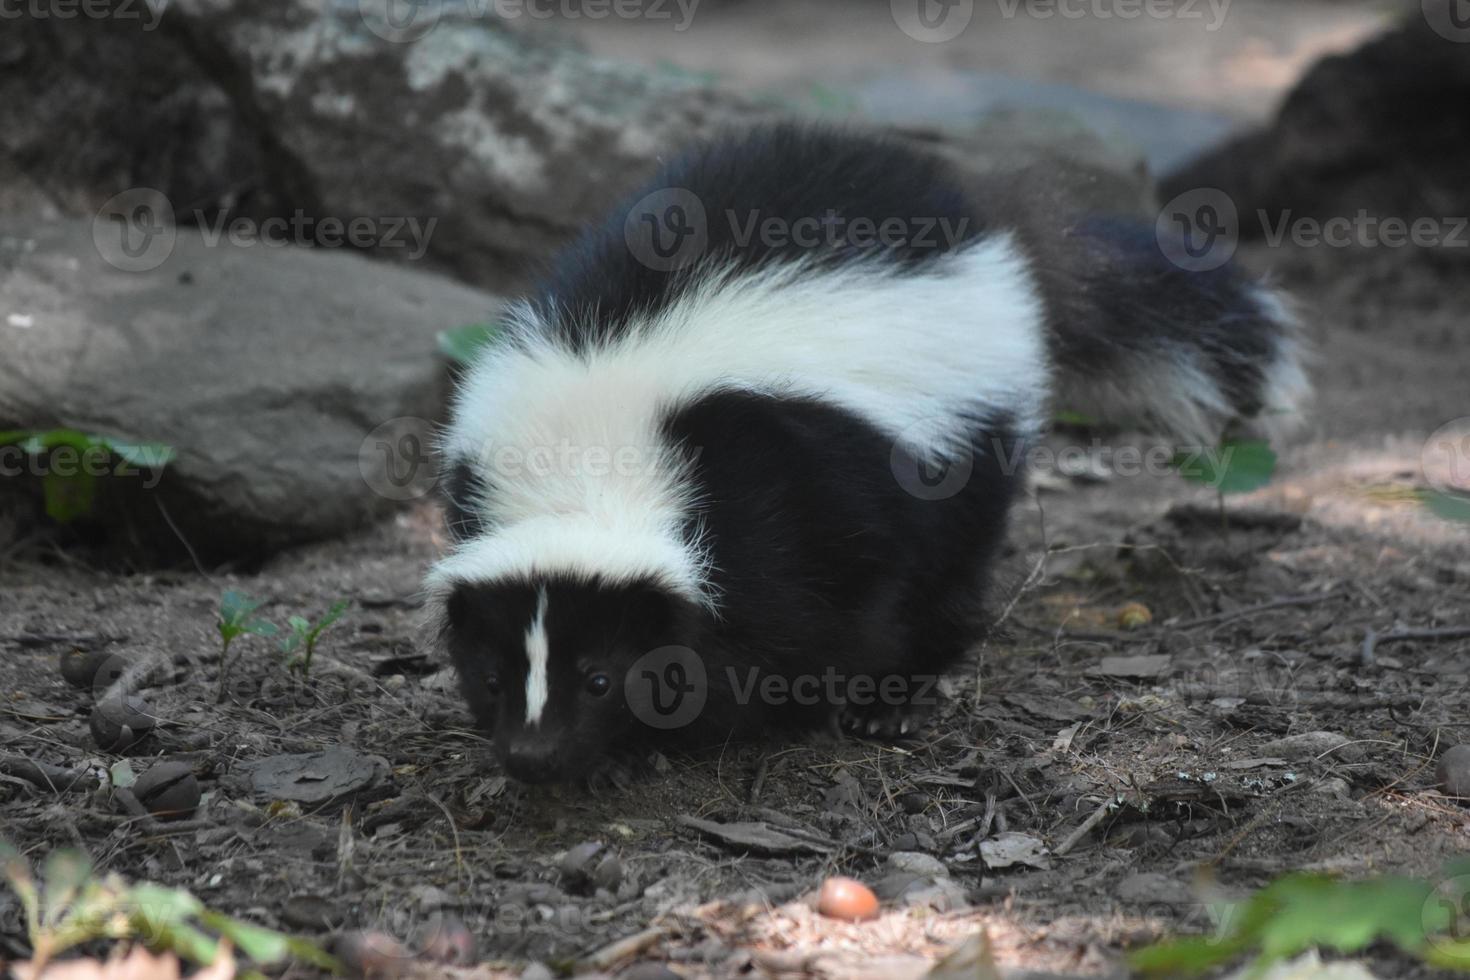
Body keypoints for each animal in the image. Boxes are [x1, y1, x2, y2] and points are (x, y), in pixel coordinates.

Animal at [429, 124, 1311, 781]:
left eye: (601, 676)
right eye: (492, 674)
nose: (532, 754)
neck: (588, 455)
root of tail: (982, 216)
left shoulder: (785, 476)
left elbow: (820, 606)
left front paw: (751, 713)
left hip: (968, 436)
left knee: (949, 566)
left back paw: (901, 693)